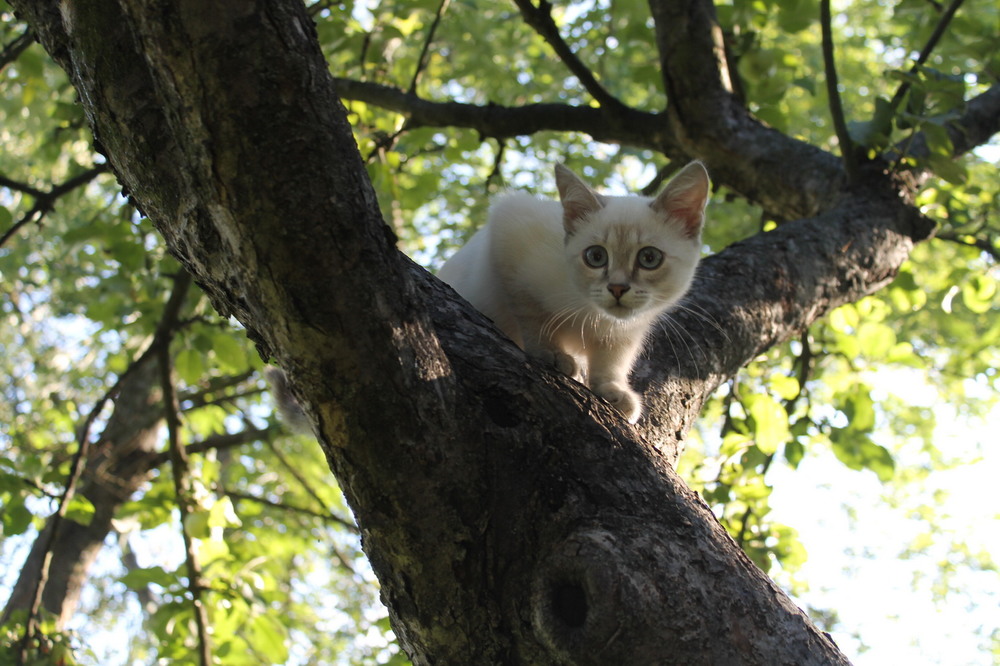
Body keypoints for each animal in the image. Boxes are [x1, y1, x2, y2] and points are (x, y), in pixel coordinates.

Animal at [440, 161, 712, 420]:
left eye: (649, 258)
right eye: (596, 256)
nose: (617, 288)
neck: (596, 315)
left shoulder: (629, 330)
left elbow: (613, 359)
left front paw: (613, 390)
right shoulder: (510, 231)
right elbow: (533, 314)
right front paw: (552, 353)